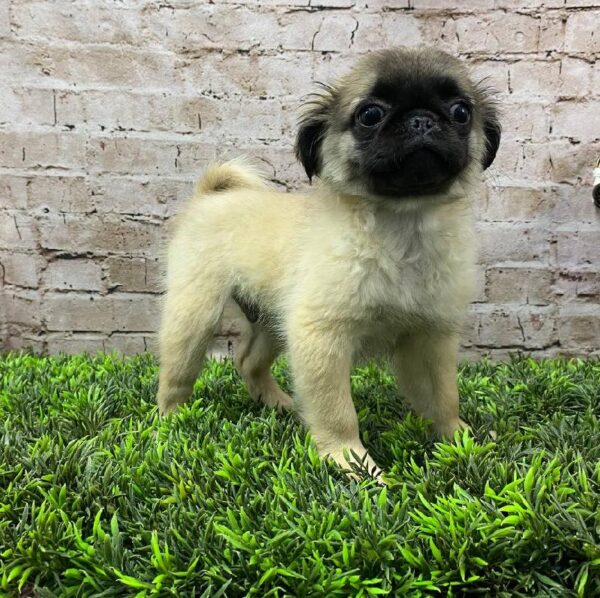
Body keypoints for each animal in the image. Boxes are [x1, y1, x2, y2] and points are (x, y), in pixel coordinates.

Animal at [156, 47, 502, 480]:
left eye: (460, 112)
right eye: (370, 114)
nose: (421, 119)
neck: (401, 225)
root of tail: (211, 195)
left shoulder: (428, 339)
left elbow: (444, 396)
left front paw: (457, 440)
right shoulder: (322, 339)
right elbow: (337, 412)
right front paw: (350, 462)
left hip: (274, 322)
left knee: (248, 361)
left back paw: (277, 403)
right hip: (195, 317)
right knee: (177, 375)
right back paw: (172, 421)